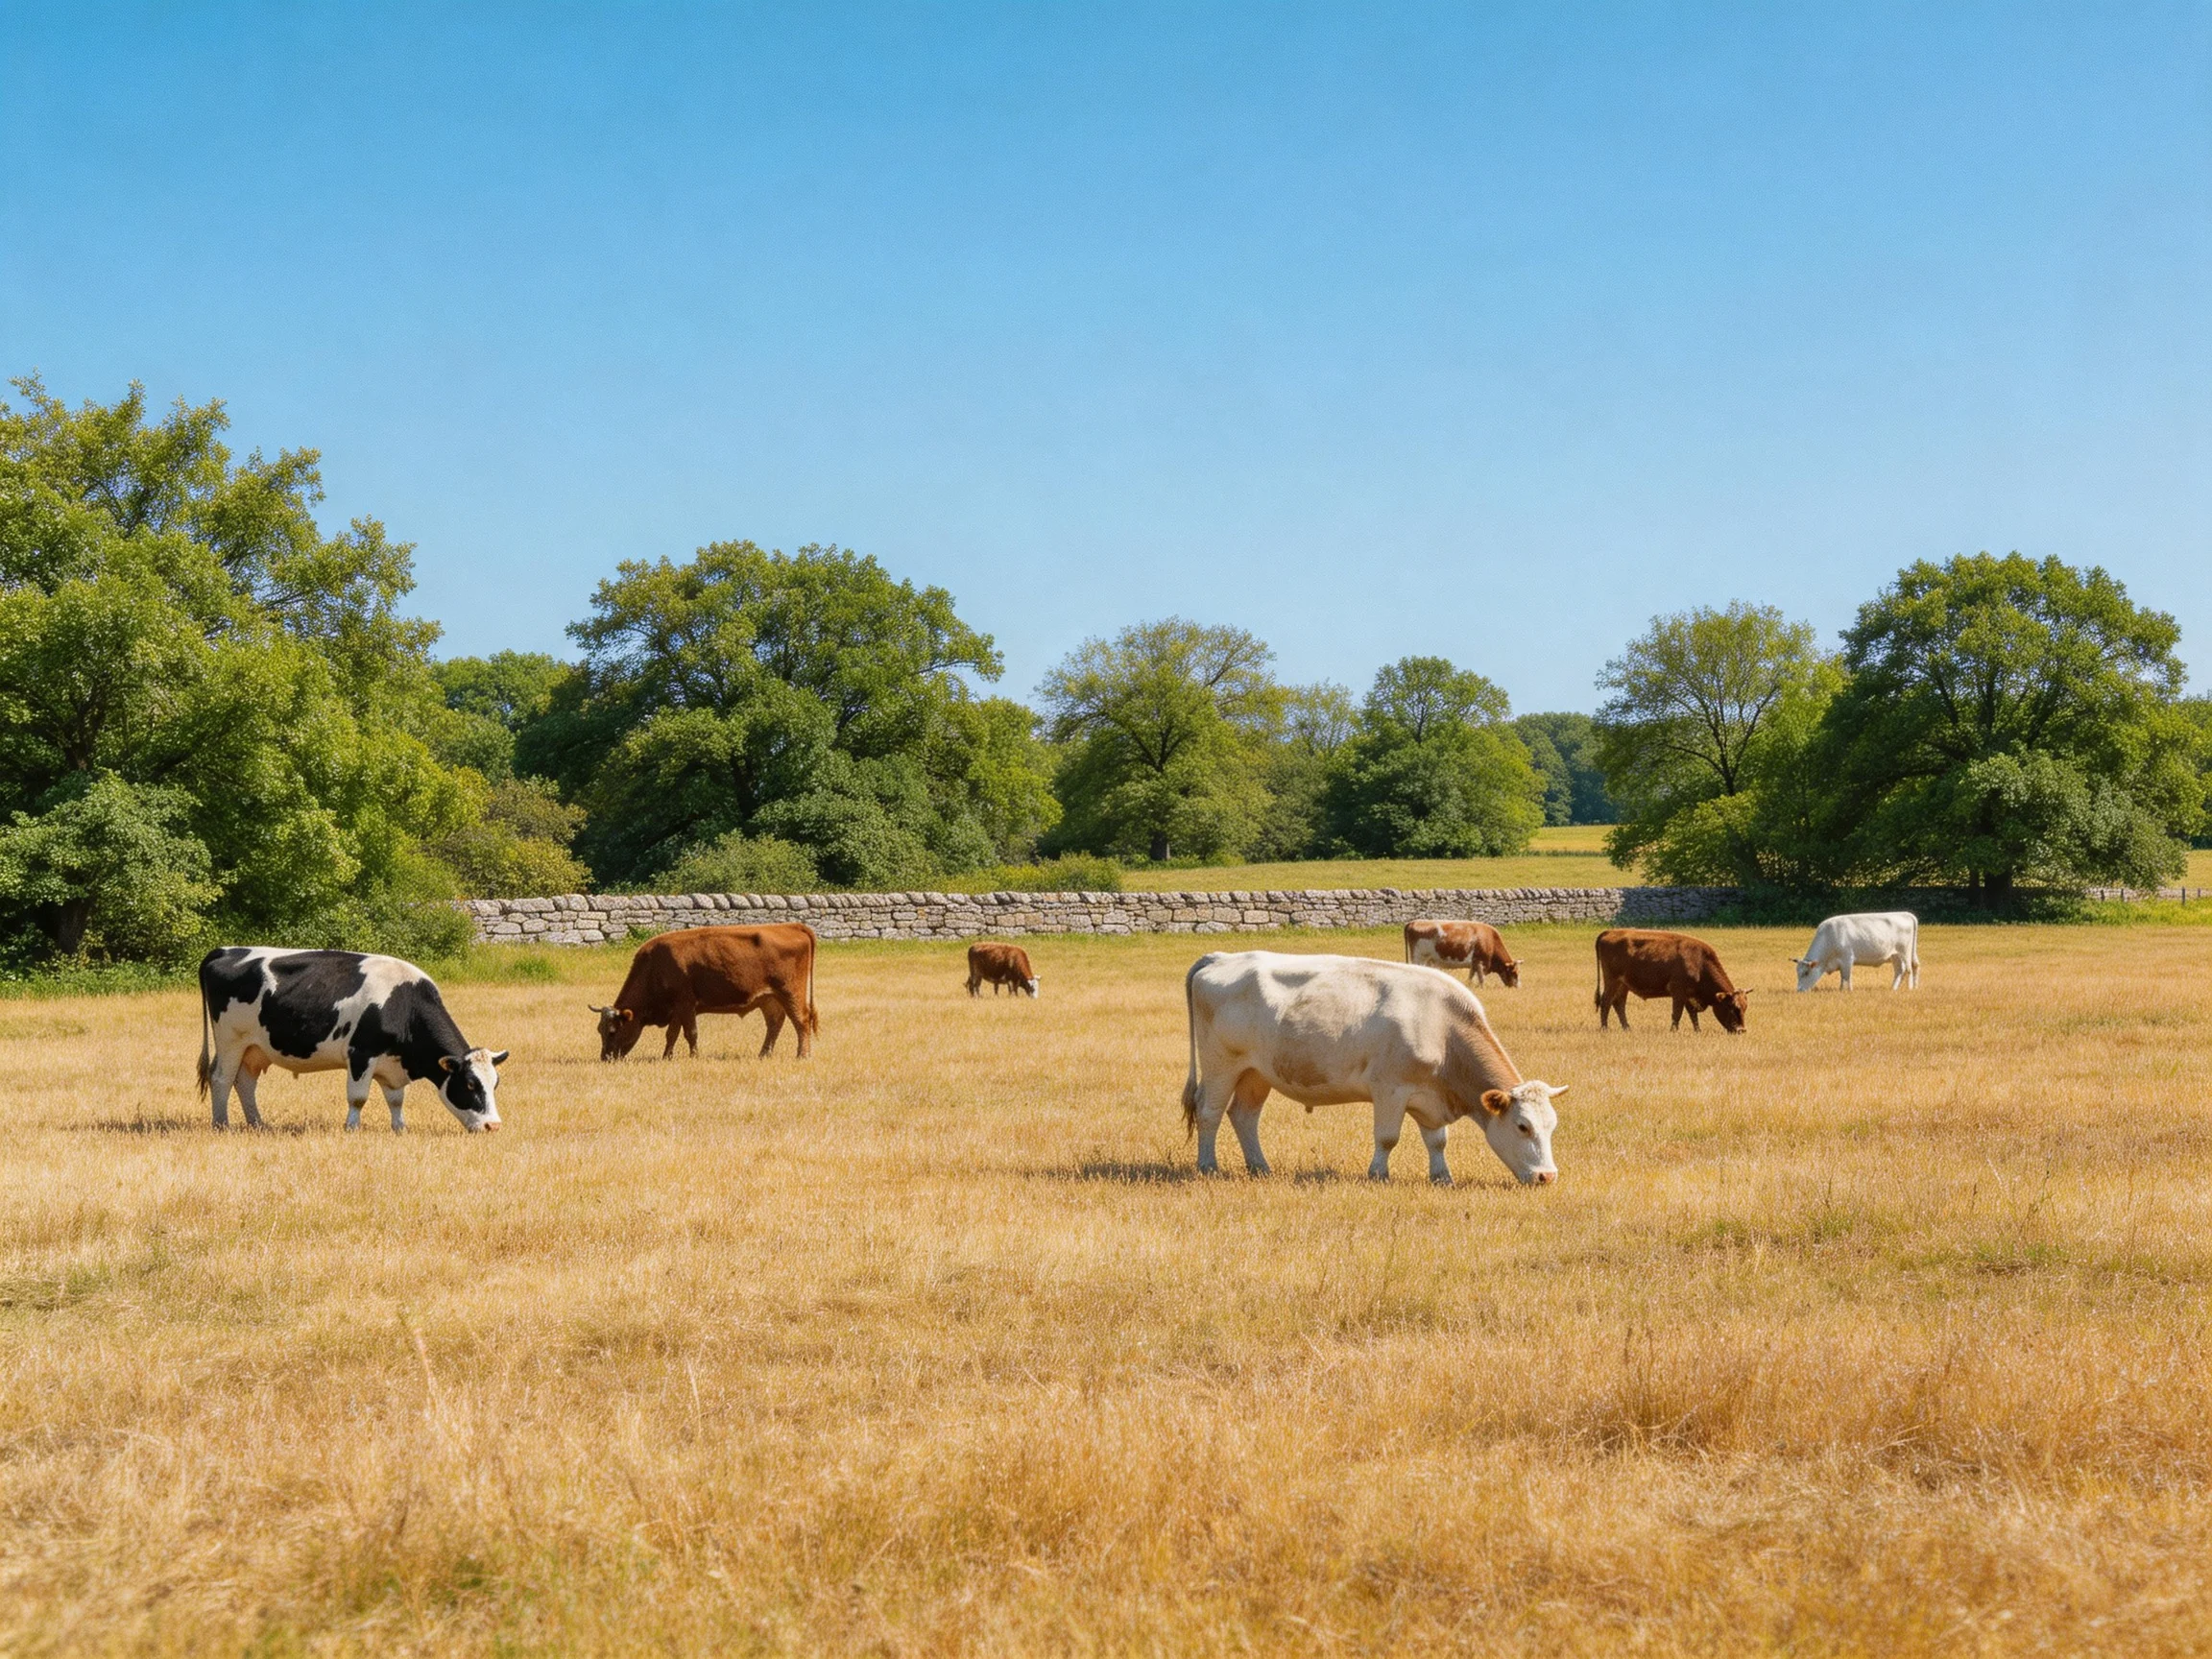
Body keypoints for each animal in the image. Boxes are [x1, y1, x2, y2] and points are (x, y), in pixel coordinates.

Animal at [196, 947, 508, 1133]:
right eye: (470, 1084)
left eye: (494, 1083)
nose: (493, 1126)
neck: (403, 1003)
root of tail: (225, 950)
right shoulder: (361, 1054)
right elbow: (358, 1097)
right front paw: (352, 1128)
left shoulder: (391, 1064)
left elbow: (396, 1099)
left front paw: (400, 1128)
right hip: (231, 1040)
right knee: (221, 1078)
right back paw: (221, 1125)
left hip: (255, 1048)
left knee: (245, 1082)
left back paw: (258, 1124)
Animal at [591, 924, 818, 1060]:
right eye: (599, 1030)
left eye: (613, 1031)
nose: (605, 1058)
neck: (655, 965)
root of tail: (791, 926)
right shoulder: (677, 1008)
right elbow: (671, 1034)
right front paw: (667, 1057)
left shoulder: (686, 1004)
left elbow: (691, 1033)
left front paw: (694, 1056)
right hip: (769, 999)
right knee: (775, 1023)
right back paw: (764, 1054)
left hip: (790, 993)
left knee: (801, 1021)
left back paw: (802, 1055)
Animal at [1181, 951, 1566, 1185]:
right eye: (1522, 1126)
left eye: (1552, 1127)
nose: (1547, 1176)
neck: (1442, 1026)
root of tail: (1221, 957)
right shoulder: (1390, 1090)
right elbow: (1387, 1137)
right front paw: (1378, 1174)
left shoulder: (1428, 1098)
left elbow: (1437, 1141)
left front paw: (1442, 1177)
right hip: (1221, 1064)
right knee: (1209, 1112)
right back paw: (1208, 1166)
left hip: (1256, 1073)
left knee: (1244, 1115)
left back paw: (1260, 1167)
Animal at [1594, 929, 1749, 1033]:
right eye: (1732, 1007)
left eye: (1745, 1008)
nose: (1741, 1030)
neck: (1699, 962)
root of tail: (1609, 932)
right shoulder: (1678, 993)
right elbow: (1677, 1013)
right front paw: (1673, 1031)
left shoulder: (1688, 995)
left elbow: (1692, 1014)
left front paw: (1698, 1031)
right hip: (1612, 981)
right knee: (1606, 1001)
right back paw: (1604, 1028)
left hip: (1623, 985)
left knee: (1619, 1003)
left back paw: (1627, 1028)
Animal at [1794, 912, 1920, 991]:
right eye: (1798, 973)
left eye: (1806, 973)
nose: (1799, 990)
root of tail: (1906, 914)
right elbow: (1842, 978)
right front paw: (1841, 989)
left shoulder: (1847, 959)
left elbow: (1846, 977)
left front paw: (1847, 991)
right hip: (1895, 955)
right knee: (1901, 970)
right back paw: (1894, 988)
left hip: (1905, 953)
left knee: (1908, 969)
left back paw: (1909, 988)